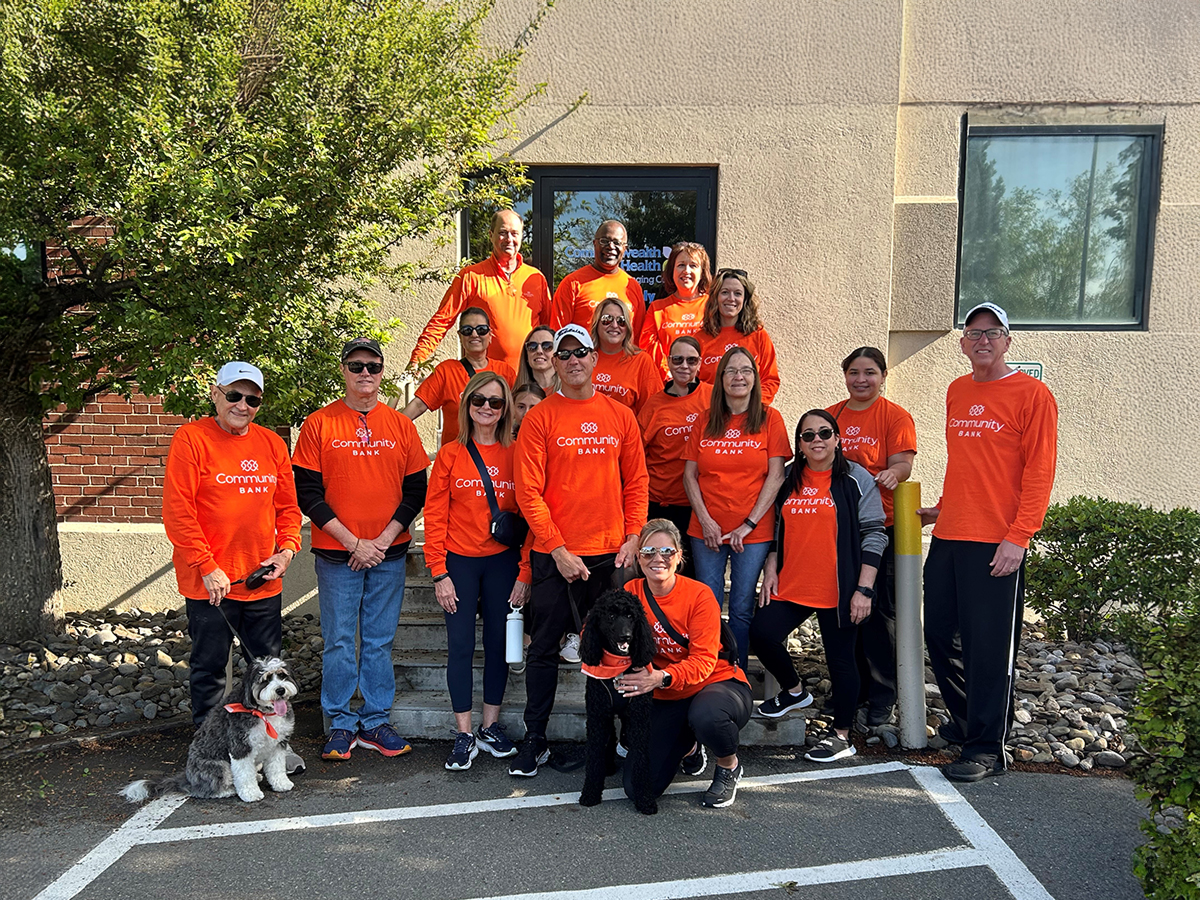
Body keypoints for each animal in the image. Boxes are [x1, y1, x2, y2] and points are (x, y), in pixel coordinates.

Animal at [120, 657, 298, 801]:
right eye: (265, 680)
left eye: (282, 675)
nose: (280, 690)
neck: (263, 712)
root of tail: (188, 778)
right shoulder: (240, 747)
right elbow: (244, 774)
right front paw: (250, 794)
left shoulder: (277, 746)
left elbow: (276, 768)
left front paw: (281, 784)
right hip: (218, 766)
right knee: (205, 790)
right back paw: (228, 790)